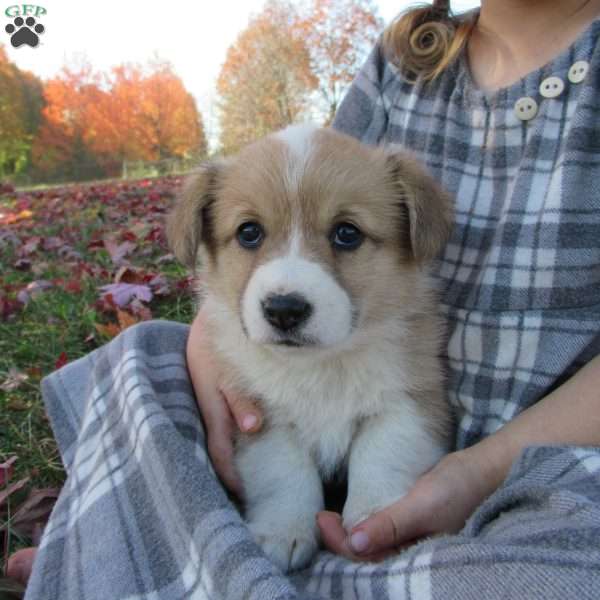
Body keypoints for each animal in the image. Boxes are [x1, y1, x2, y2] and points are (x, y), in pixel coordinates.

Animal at [166, 123, 452, 572]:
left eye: (347, 233)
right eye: (249, 232)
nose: (284, 310)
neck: (323, 365)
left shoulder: (411, 400)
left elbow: (381, 454)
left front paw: (375, 516)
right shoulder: (260, 414)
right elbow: (284, 471)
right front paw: (284, 530)